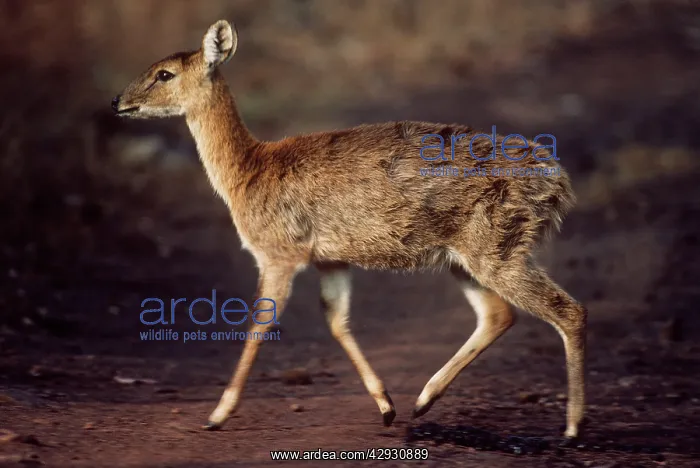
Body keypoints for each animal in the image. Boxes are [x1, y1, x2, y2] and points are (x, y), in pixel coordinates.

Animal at [113, 20, 587, 438]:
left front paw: (217, 414)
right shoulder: (331, 260)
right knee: (498, 313)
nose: (118, 100)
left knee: (568, 310)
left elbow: (260, 323)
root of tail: (558, 180)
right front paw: (386, 406)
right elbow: (336, 320)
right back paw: (422, 400)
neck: (248, 172)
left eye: (164, 73)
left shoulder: (278, 253)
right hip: (465, 257)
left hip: (498, 248)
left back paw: (572, 426)